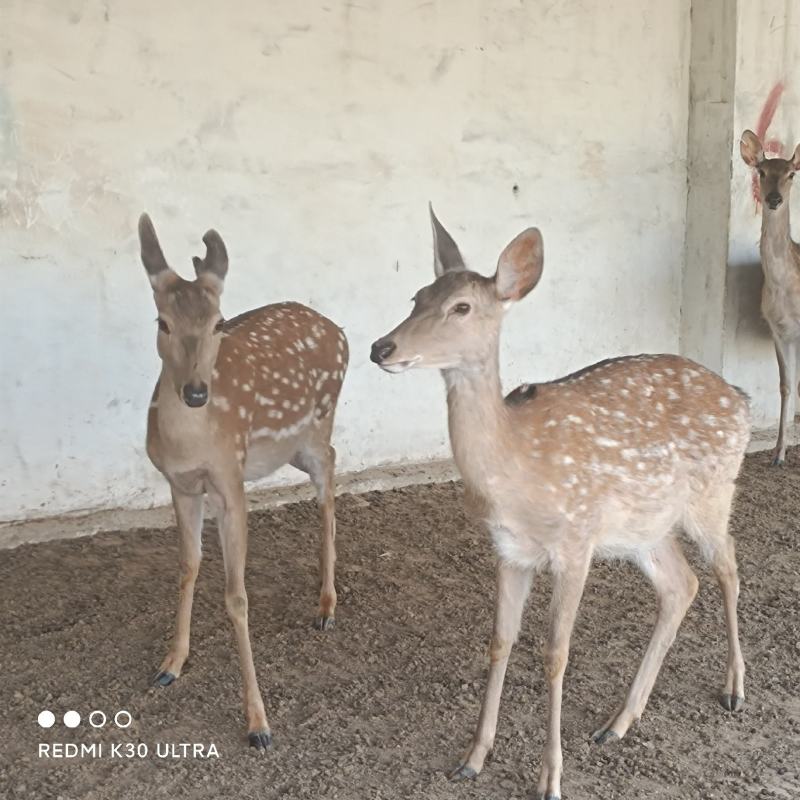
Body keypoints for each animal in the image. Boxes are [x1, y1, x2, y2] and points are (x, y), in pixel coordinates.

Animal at [137, 213, 348, 749]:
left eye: (217, 321)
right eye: (161, 322)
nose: (195, 392)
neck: (190, 444)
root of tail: (338, 329)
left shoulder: (231, 481)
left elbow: (237, 597)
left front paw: (258, 724)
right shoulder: (180, 484)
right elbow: (188, 565)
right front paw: (170, 663)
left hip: (317, 424)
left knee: (330, 475)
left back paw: (326, 604)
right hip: (289, 448)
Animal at [370, 206, 749, 800]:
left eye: (461, 307)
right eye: (417, 295)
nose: (381, 348)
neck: (516, 471)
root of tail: (742, 397)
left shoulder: (574, 542)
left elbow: (555, 654)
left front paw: (550, 777)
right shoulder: (510, 550)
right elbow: (500, 641)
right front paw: (473, 757)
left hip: (714, 491)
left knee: (728, 566)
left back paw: (734, 688)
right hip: (644, 527)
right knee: (680, 584)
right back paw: (619, 721)